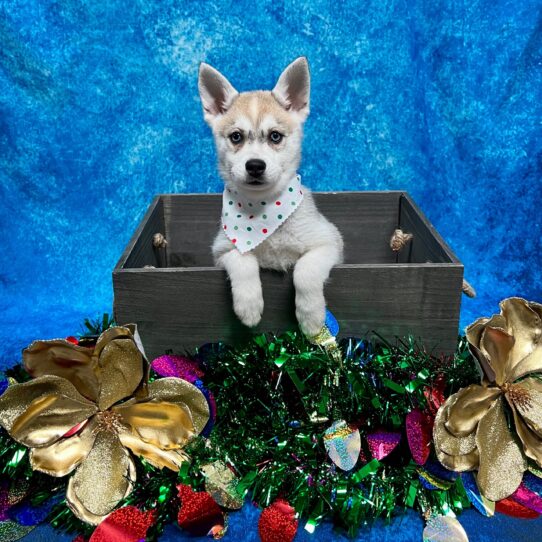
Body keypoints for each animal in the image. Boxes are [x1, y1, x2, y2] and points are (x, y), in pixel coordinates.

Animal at [199, 57, 344, 338]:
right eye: (236, 136)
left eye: (275, 136)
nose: (255, 165)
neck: (263, 212)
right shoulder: (222, 250)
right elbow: (243, 260)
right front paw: (249, 305)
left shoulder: (329, 242)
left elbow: (305, 270)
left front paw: (311, 318)